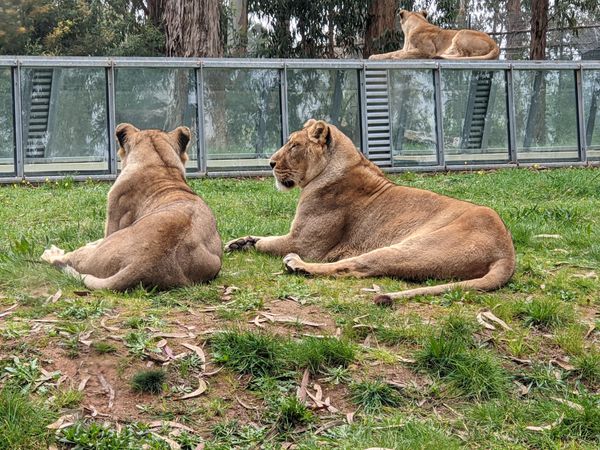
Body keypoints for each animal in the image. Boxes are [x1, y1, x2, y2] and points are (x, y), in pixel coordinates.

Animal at [41, 124, 223, 292]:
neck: (161, 167)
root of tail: (144, 264)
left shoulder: (113, 219)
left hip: (93, 253)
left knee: (67, 260)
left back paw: (51, 254)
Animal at [225, 119, 516, 302]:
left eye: (294, 145)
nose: (271, 163)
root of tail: (507, 252)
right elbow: (264, 237)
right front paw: (240, 242)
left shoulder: (305, 243)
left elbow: (269, 244)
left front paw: (250, 245)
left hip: (409, 247)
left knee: (352, 267)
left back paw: (297, 265)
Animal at [368, 9, 500, 60]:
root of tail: (496, 46)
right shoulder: (405, 48)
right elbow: (388, 53)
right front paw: (374, 56)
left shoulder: (428, 50)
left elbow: (400, 54)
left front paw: (397, 56)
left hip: (461, 33)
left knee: (465, 55)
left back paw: (440, 55)